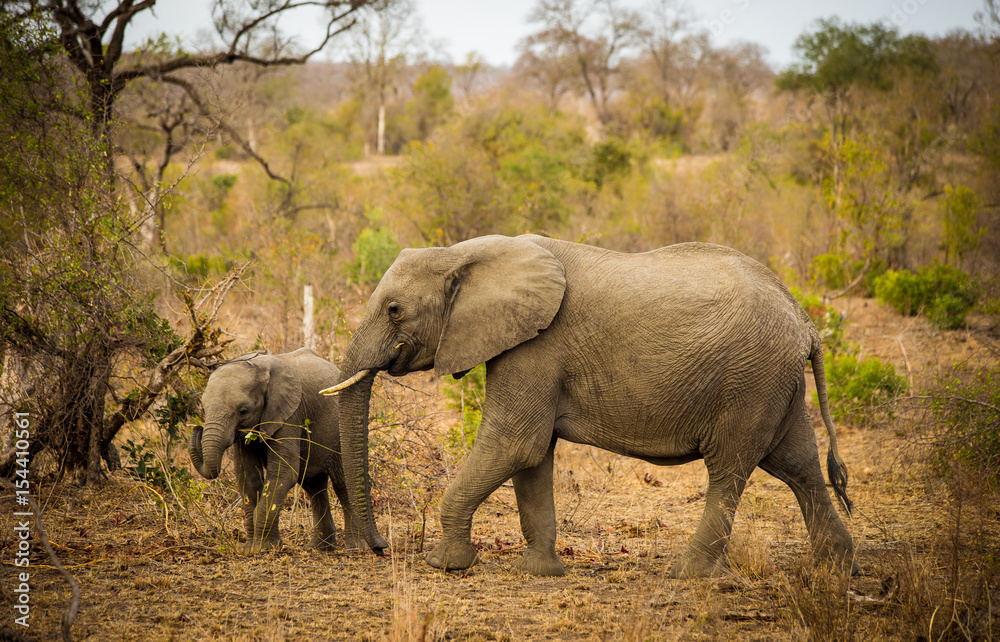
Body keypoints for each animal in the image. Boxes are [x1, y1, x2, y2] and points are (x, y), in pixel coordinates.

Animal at [189, 348, 388, 553]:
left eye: (242, 411)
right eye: (203, 407)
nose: (197, 429)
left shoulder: (291, 414)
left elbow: (283, 473)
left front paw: (265, 549)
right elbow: (248, 477)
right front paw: (250, 549)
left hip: (338, 434)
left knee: (341, 484)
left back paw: (354, 547)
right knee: (313, 485)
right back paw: (317, 548)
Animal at [322, 235, 856, 577]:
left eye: (394, 310)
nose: (381, 547)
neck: (466, 253)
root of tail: (805, 321)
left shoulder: (536, 347)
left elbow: (514, 444)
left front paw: (445, 566)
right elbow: (532, 458)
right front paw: (541, 572)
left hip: (749, 380)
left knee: (729, 470)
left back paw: (687, 574)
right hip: (775, 382)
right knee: (799, 465)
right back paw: (837, 569)